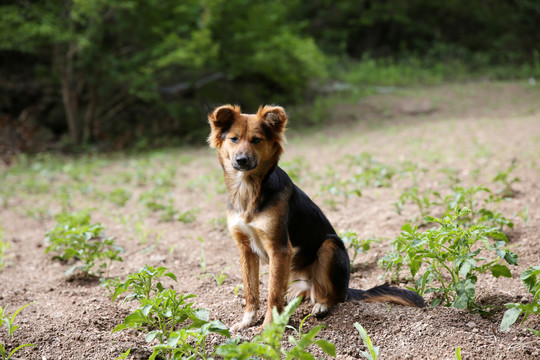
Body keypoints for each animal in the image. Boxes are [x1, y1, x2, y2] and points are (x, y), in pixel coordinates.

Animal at [209, 102, 424, 330]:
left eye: (256, 140)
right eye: (234, 139)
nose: (241, 160)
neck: (248, 190)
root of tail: (346, 287)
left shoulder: (279, 248)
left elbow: (273, 294)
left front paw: (269, 329)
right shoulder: (245, 248)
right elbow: (251, 291)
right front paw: (246, 322)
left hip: (330, 247)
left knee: (332, 295)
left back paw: (321, 305)